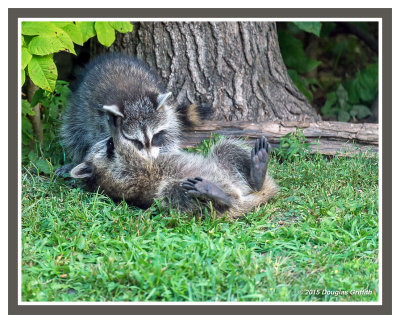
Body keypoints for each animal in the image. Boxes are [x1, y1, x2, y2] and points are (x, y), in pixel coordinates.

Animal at [58, 54, 211, 178]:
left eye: (155, 136)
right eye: (135, 141)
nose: (150, 159)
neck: (134, 99)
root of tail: (113, 57)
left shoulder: (167, 116)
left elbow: (170, 136)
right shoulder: (100, 124)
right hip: (79, 107)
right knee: (75, 132)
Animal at [70, 128, 278, 219]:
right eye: (108, 145)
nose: (110, 139)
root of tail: (239, 197)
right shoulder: (125, 177)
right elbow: (134, 165)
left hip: (228, 171)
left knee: (226, 148)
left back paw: (257, 173)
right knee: (171, 190)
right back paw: (220, 198)